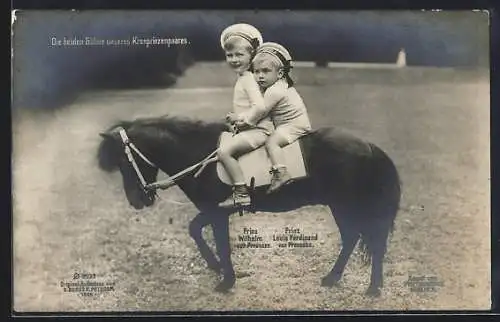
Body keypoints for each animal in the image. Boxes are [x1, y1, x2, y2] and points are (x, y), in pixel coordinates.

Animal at [97, 115, 402, 296]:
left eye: (123, 161)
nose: (137, 200)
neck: (198, 153)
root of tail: (369, 147)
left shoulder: (216, 213)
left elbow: (220, 243)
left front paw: (226, 281)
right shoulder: (214, 210)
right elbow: (195, 229)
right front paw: (216, 267)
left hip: (348, 206)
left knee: (366, 240)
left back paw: (370, 288)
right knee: (355, 239)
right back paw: (336, 279)